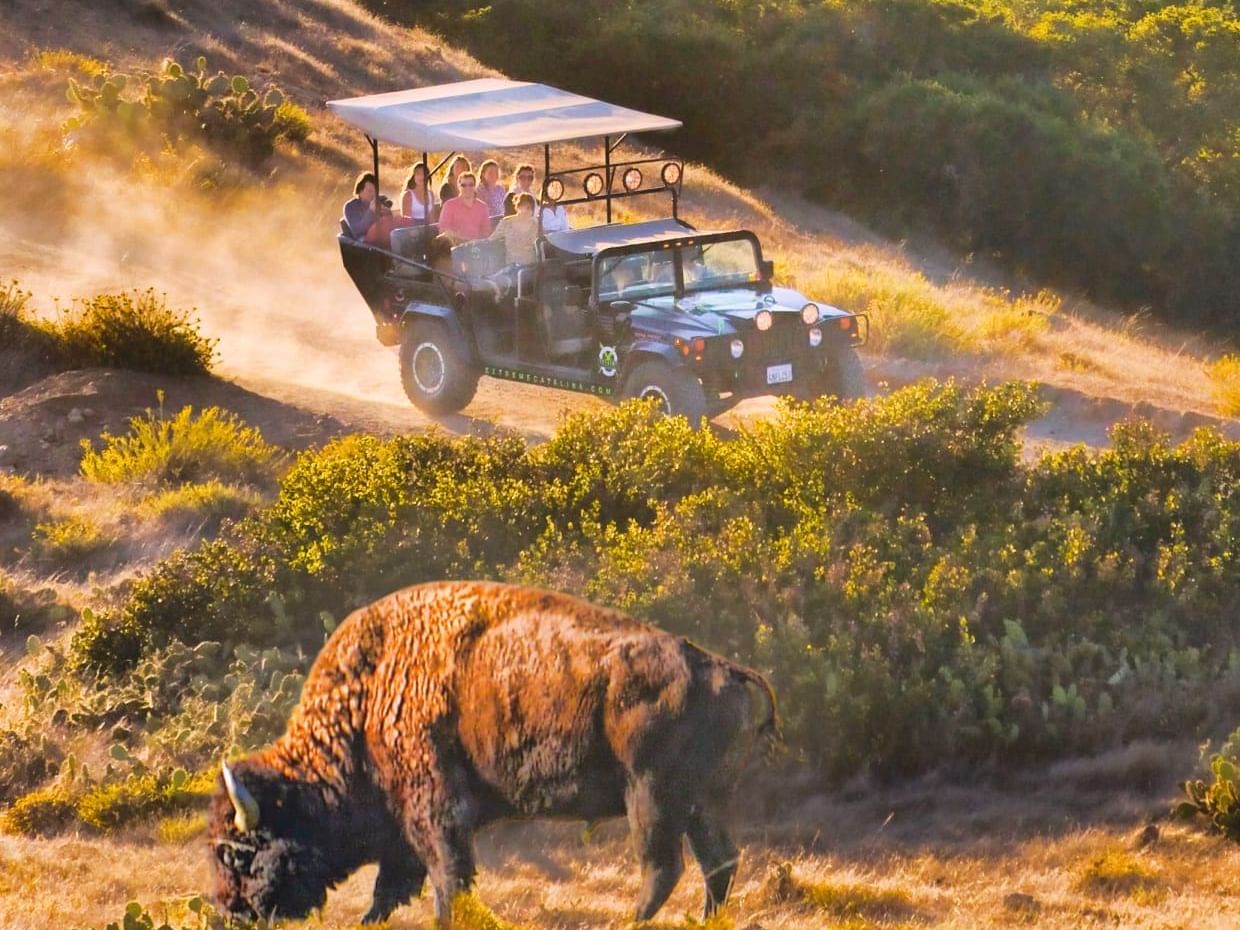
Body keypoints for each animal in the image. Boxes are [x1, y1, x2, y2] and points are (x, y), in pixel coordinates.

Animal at [209, 582, 778, 927]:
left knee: (664, 867)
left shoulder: (435, 814)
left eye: (235, 853)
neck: (369, 695)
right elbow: (392, 887)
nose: (228, 912)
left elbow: (446, 879)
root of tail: (724, 669)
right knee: (718, 863)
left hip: (651, 797)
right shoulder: (403, 827)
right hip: (702, 804)